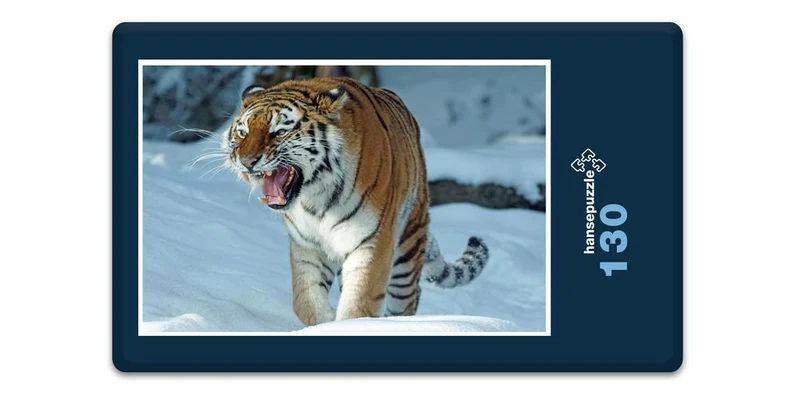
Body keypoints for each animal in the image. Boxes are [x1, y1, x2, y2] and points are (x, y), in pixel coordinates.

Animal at [221, 76, 489, 326]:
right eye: (243, 133)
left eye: (279, 132)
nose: (246, 161)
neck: (315, 198)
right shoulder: (307, 246)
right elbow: (305, 301)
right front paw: (327, 321)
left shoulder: (372, 242)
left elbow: (359, 303)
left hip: (408, 245)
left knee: (408, 297)